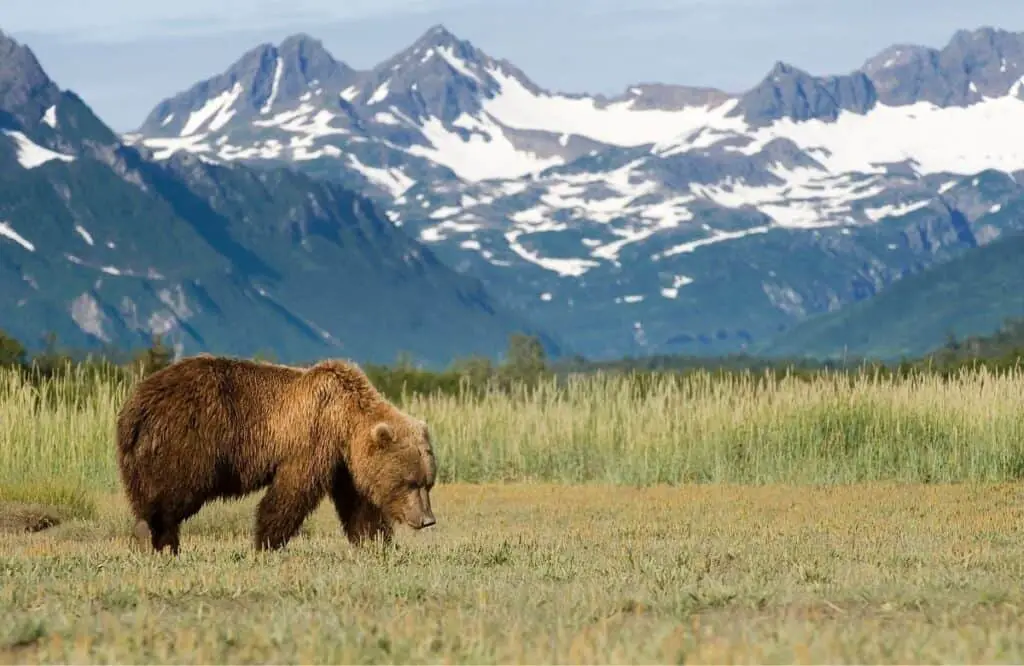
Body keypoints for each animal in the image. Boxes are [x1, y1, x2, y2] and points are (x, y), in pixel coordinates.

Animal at [115, 354, 436, 553]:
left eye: (428, 483)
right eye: (410, 482)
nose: (427, 519)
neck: (345, 420)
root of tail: (135, 405)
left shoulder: (344, 464)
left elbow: (359, 505)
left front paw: (377, 543)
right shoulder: (312, 440)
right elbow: (290, 493)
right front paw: (266, 543)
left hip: (142, 453)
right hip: (188, 442)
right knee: (174, 493)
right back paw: (155, 537)